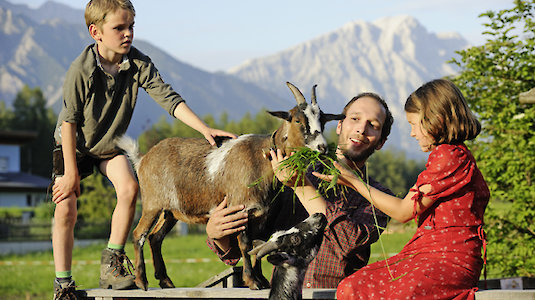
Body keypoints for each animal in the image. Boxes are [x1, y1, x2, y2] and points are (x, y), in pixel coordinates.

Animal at [117, 81, 344, 290]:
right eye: (297, 120)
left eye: (323, 121)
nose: (322, 147)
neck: (260, 159)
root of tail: (142, 159)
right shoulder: (240, 209)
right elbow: (245, 244)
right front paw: (252, 281)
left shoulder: (262, 215)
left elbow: (257, 245)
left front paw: (261, 280)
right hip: (152, 204)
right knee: (139, 235)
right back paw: (141, 281)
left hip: (170, 211)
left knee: (155, 237)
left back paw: (165, 281)